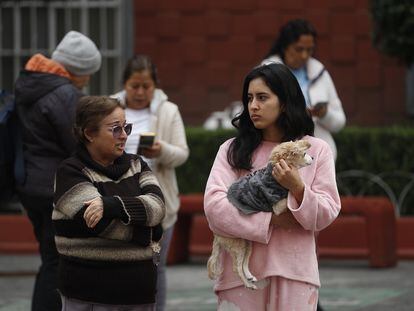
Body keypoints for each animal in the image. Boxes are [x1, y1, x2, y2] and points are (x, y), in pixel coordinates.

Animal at [209, 140, 312, 288]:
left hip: (247, 242)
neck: (273, 177)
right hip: (238, 243)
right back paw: (248, 285)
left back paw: (250, 276)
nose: (313, 157)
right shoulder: (277, 205)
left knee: (244, 261)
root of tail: (216, 235)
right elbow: (287, 200)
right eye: (304, 154)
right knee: (236, 267)